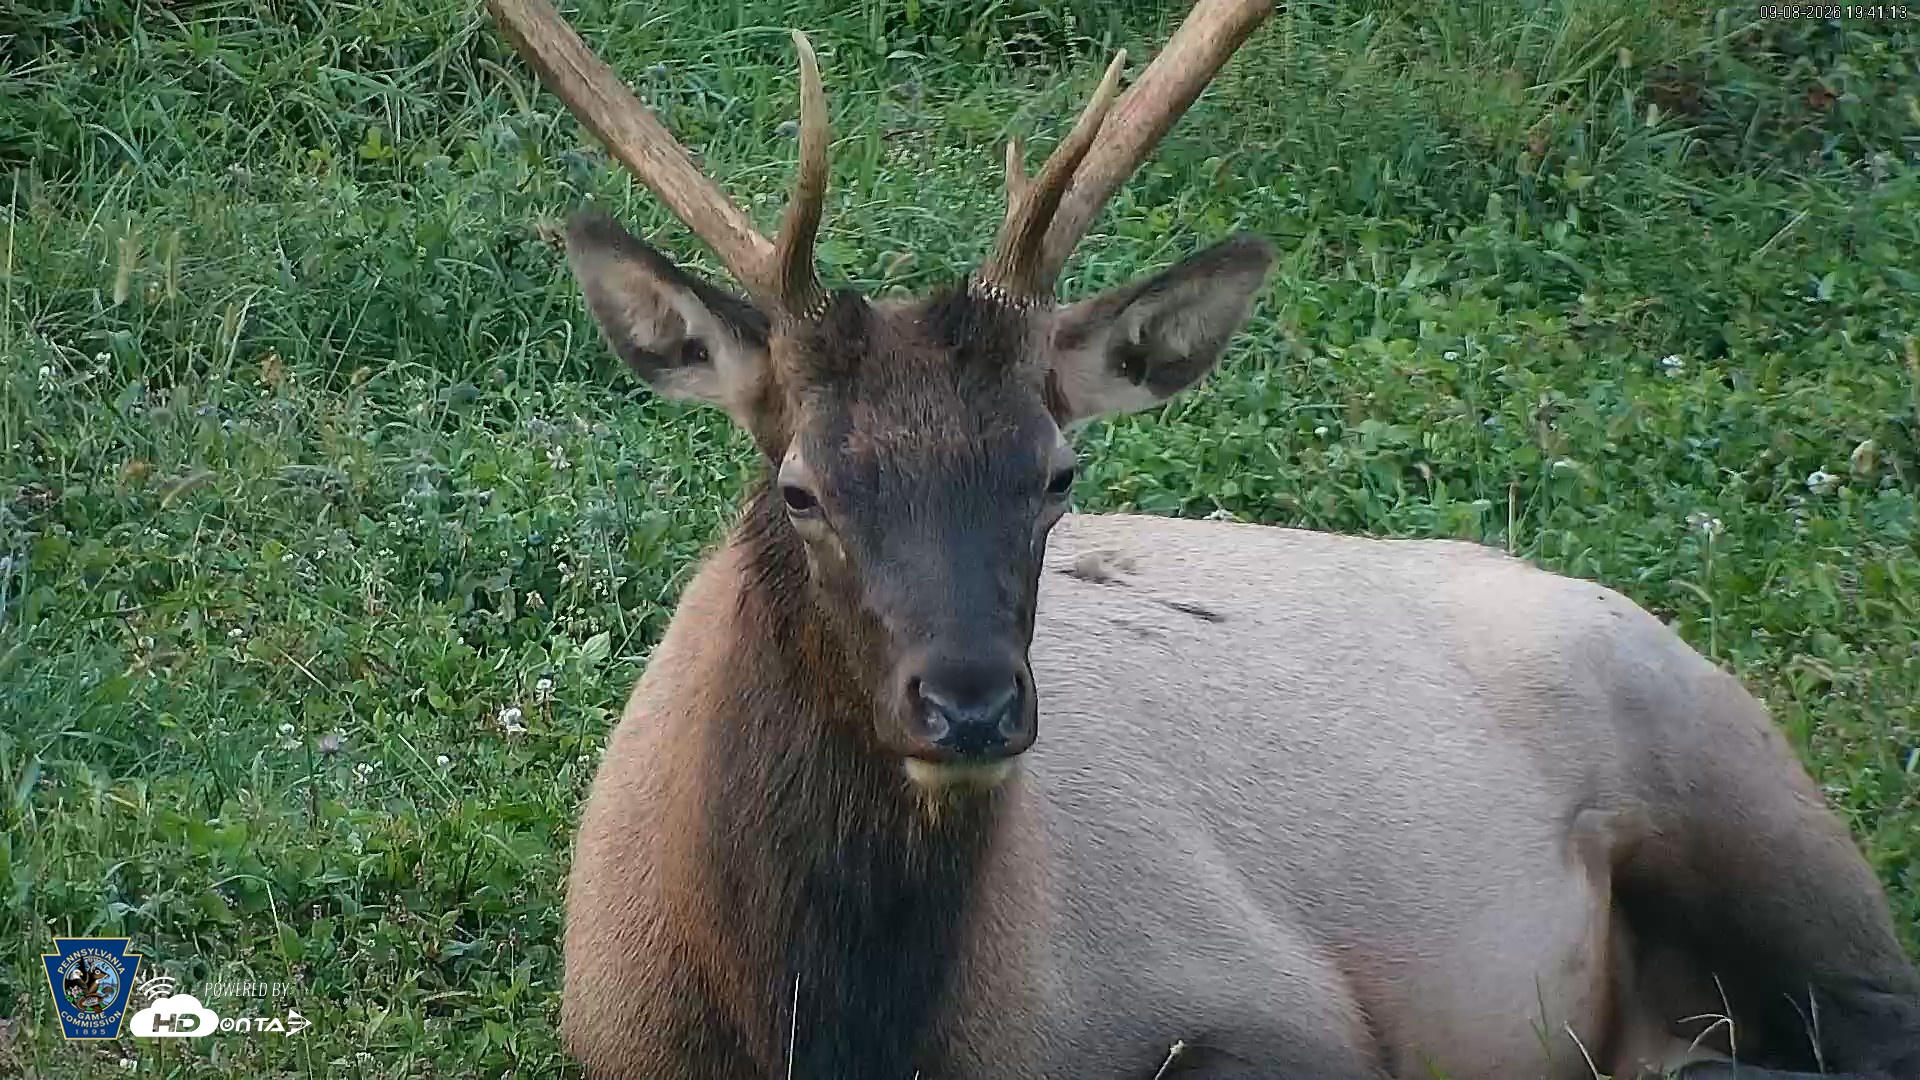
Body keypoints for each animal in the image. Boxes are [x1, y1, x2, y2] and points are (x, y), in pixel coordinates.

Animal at [483, 0, 1920, 1076]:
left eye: (1056, 473)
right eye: (801, 488)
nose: (971, 706)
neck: (831, 1030)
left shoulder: (1283, 1005)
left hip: (1749, 800)